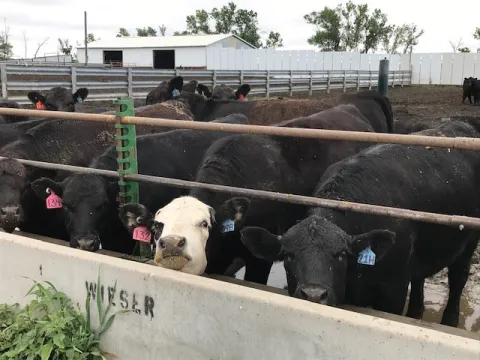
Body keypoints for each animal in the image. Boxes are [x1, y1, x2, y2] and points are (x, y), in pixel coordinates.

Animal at [242, 119, 480, 328]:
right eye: (288, 255)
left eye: (341, 255)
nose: (314, 295)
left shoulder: (393, 288)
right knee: (420, 278)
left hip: (468, 244)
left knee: (458, 279)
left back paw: (449, 321)